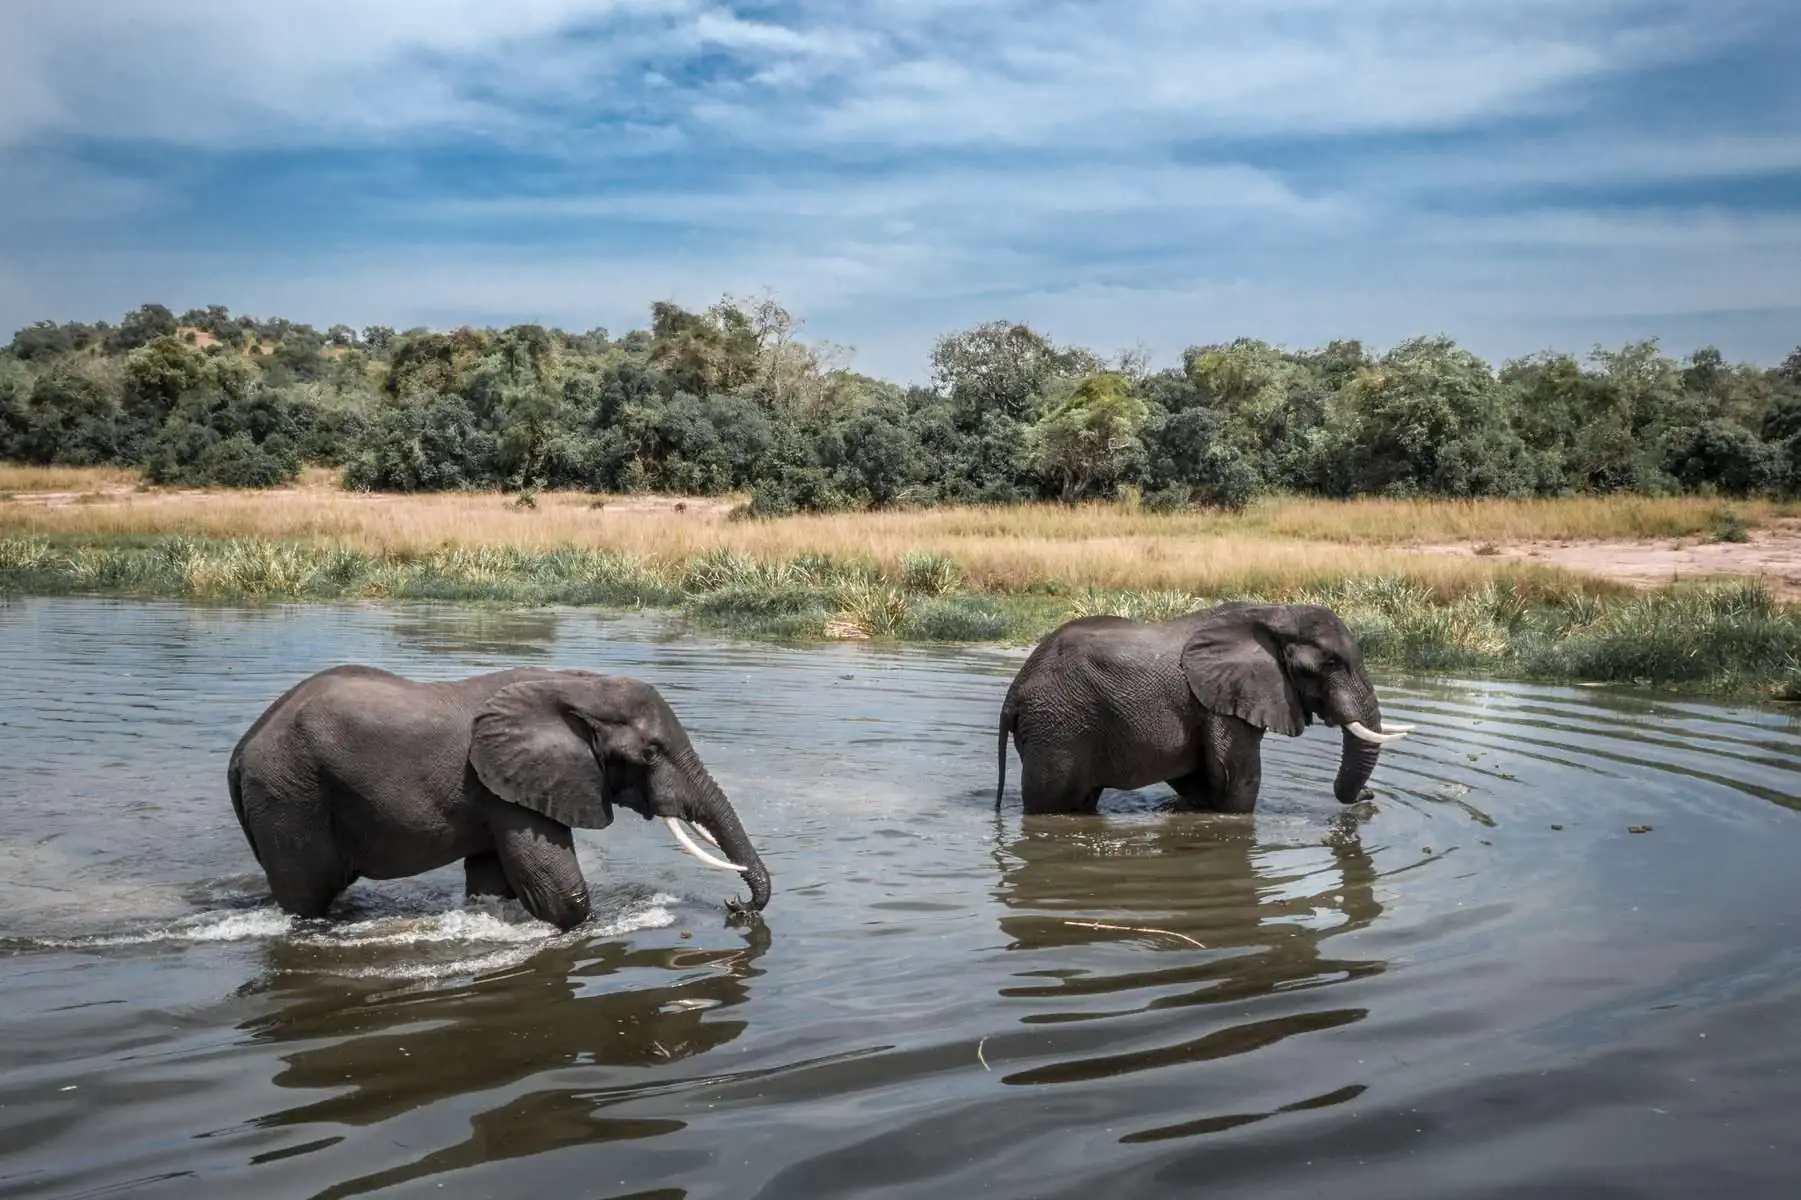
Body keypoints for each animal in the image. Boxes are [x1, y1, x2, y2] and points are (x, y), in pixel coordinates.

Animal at [230, 663, 767, 922]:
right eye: (651, 753)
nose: (734, 908)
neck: (577, 687)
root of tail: (241, 751)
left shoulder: (500, 790)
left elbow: (492, 880)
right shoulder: (508, 785)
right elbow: (560, 892)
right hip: (289, 794)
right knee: (307, 897)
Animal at [1001, 598, 1404, 814]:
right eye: (1332, 663)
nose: (1369, 797)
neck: (1273, 613)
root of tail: (1015, 690)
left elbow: (1201, 777)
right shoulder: (1222, 702)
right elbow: (1236, 778)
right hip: (1057, 729)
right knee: (1051, 803)